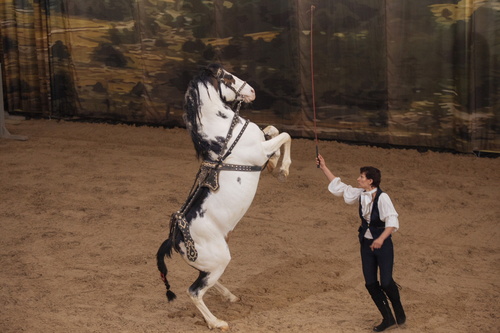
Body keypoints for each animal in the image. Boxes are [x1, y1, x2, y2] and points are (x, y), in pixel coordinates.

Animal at [155, 63, 290, 328]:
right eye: (227, 77)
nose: (252, 91)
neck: (224, 131)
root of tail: (174, 240)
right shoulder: (259, 150)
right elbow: (285, 135)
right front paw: (283, 169)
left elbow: (274, 130)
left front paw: (274, 166)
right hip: (218, 261)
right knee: (194, 291)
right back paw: (217, 322)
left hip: (212, 265)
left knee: (208, 282)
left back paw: (230, 297)